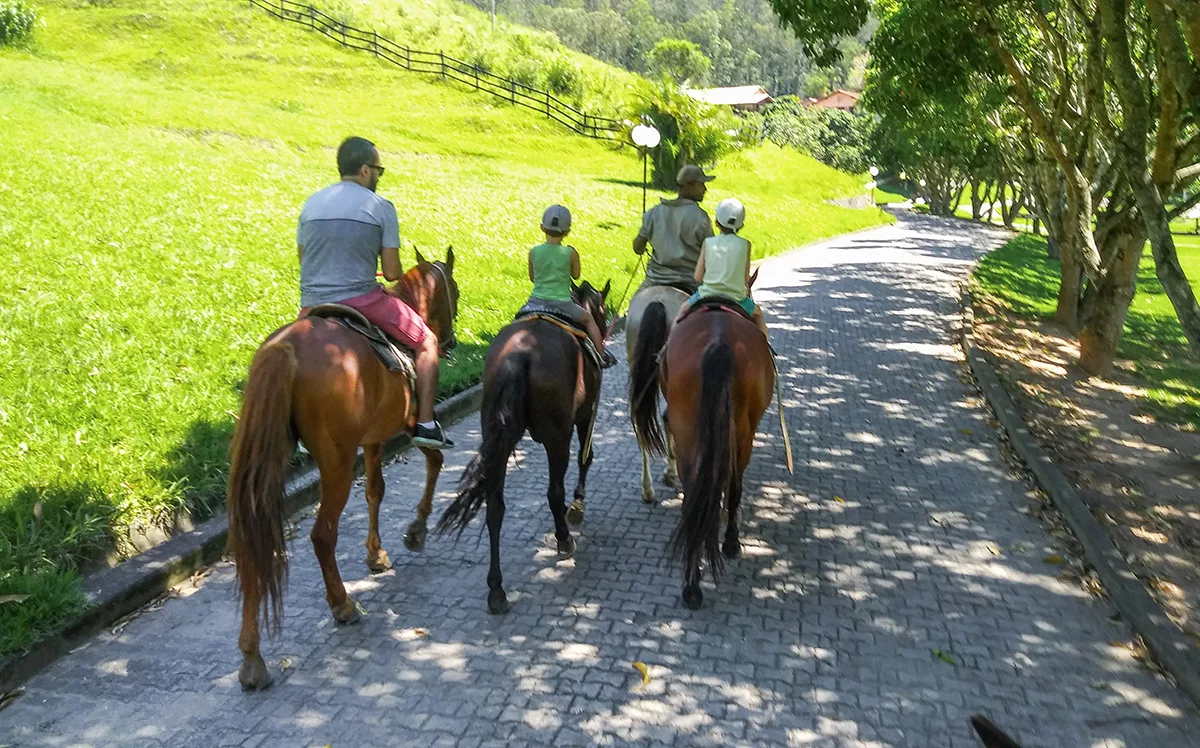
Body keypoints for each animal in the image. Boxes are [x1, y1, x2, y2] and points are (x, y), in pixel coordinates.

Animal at [225, 247, 458, 691]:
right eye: (454, 290)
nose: (451, 341)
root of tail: (287, 350)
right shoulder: (407, 425)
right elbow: (433, 459)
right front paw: (415, 530)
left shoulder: (372, 439)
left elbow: (376, 490)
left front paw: (376, 554)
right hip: (336, 461)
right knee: (321, 535)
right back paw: (342, 604)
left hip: (268, 460)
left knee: (254, 541)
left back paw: (251, 656)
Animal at [436, 279, 614, 614]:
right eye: (602, 311)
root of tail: (520, 354)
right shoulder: (586, 415)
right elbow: (587, 457)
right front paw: (578, 504)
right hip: (557, 437)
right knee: (554, 492)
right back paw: (563, 539)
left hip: (498, 438)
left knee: (495, 508)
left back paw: (496, 589)